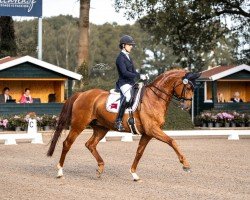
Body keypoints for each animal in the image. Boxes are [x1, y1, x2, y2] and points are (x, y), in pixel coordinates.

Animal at [46, 69, 199, 181]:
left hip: (101, 128)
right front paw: (185, 165)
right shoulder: (153, 130)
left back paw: (100, 168)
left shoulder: (147, 133)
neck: (154, 98)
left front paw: (134, 174)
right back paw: (60, 171)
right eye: (187, 87)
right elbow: (172, 141)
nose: (186, 107)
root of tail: (81, 94)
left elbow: (139, 152)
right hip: (79, 125)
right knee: (67, 143)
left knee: (90, 144)